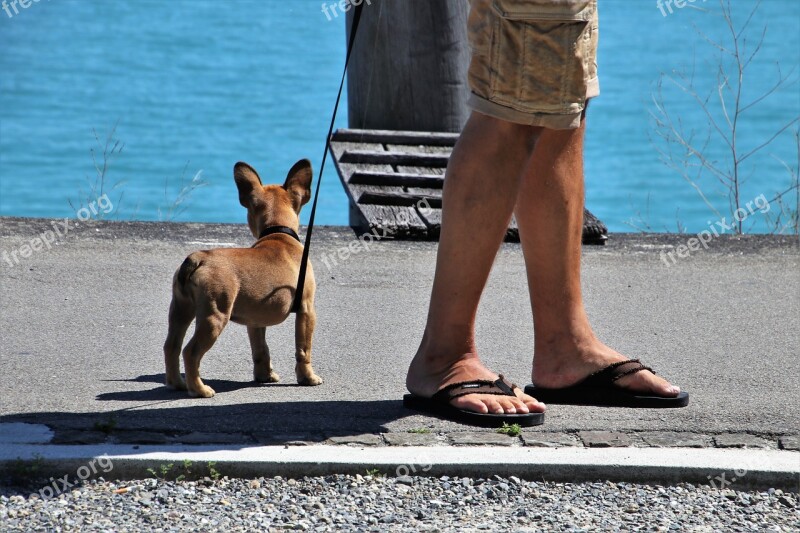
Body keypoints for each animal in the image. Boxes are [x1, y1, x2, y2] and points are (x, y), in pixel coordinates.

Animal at [163, 160, 322, 396]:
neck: (278, 233)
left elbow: (260, 349)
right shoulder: (307, 310)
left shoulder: (255, 320)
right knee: (190, 352)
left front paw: (265, 376)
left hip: (180, 309)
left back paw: (178, 384)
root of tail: (198, 258)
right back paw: (200, 389)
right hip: (214, 316)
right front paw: (308, 378)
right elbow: (303, 349)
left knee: (171, 345)